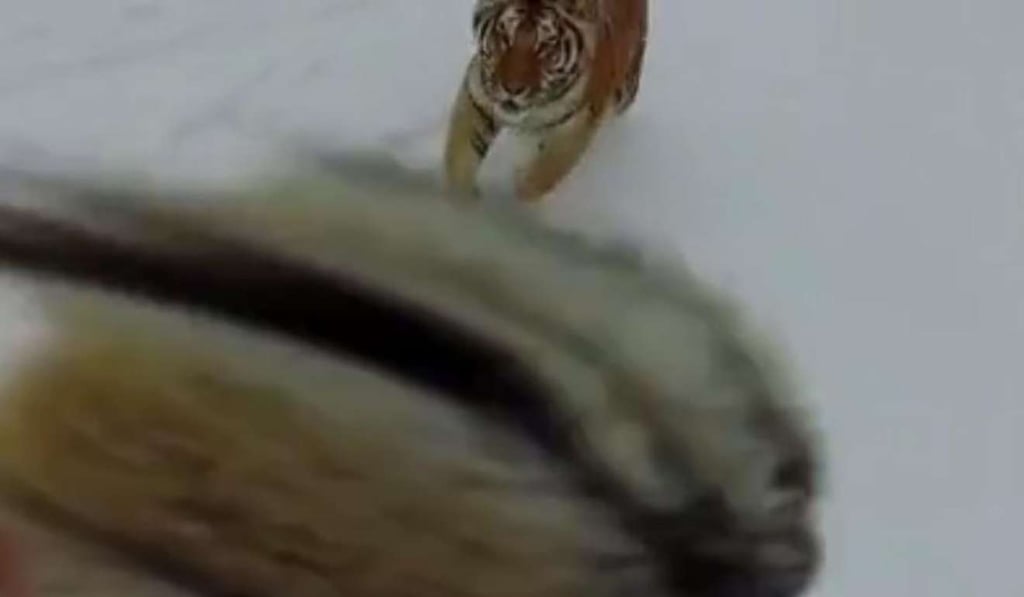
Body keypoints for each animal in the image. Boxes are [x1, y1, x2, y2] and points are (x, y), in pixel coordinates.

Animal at [444, 0, 648, 202]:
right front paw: (460, 200)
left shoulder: (577, 123)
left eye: (546, 45)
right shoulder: (478, 96)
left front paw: (514, 200)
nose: (512, 88)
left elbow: (539, 178)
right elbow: (460, 159)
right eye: (504, 35)